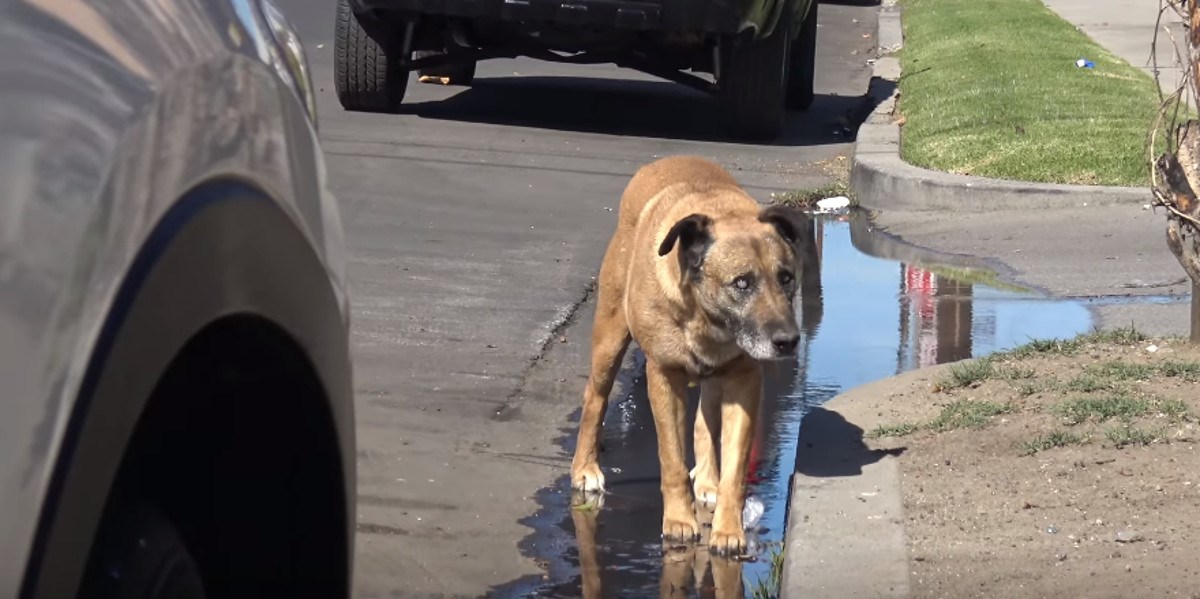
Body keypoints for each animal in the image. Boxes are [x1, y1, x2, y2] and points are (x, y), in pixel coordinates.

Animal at [568, 156, 811, 556]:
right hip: (610, 337)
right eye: (741, 283)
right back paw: (584, 467)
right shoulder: (664, 377)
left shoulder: (745, 381)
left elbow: (735, 467)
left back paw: (708, 481)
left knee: (704, 421)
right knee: (595, 399)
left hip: (715, 380)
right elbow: (671, 461)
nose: (789, 341)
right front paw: (679, 521)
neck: (706, 317)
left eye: (786, 278)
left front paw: (728, 529)